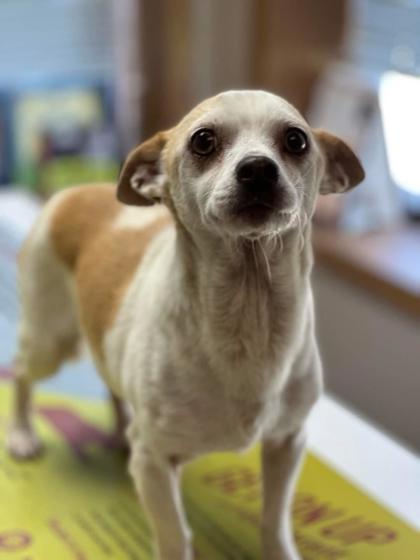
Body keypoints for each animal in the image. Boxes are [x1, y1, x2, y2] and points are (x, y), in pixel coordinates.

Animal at [6, 92, 364, 560]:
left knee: (111, 386)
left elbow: (274, 520)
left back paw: (119, 429)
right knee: (21, 375)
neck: (249, 319)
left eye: (296, 140)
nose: (258, 168)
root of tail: (74, 190)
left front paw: (280, 550)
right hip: (50, 343)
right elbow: (175, 535)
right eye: (203, 141)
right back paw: (22, 434)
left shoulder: (287, 443)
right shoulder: (154, 464)